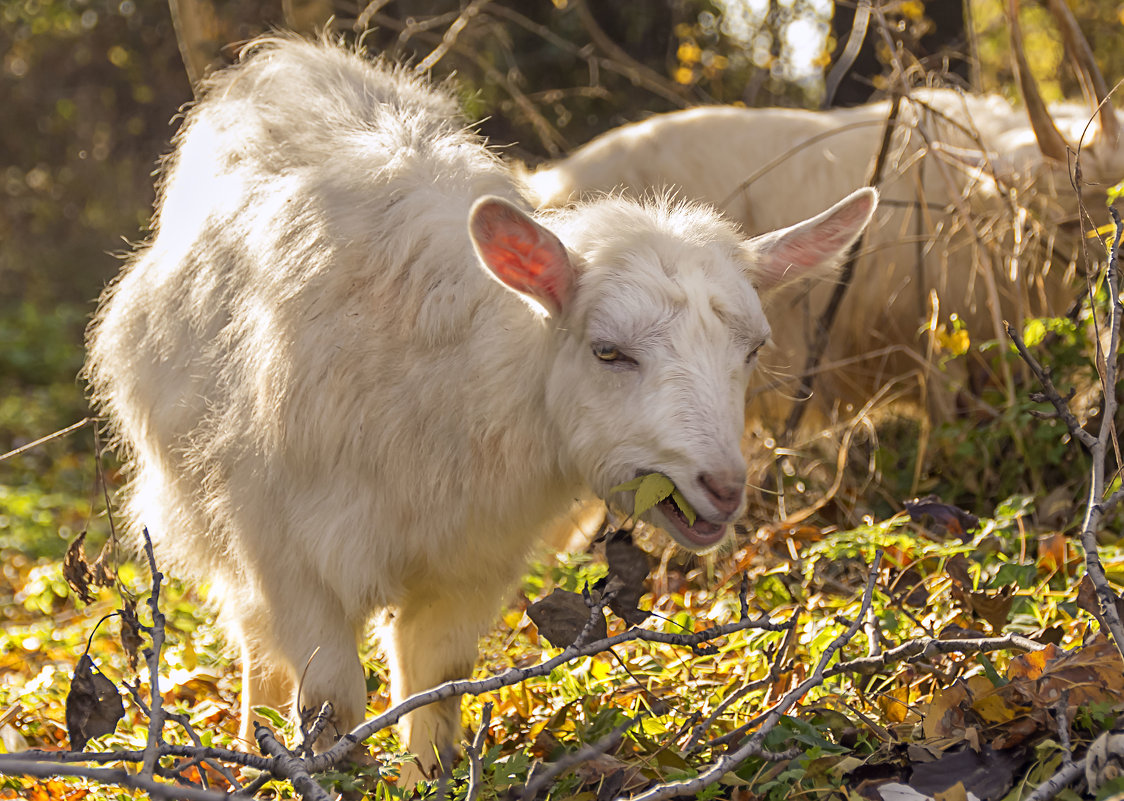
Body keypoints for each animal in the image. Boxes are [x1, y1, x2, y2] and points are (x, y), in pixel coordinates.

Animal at [85, 35, 876, 772]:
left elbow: (438, 681)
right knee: (256, 641)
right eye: (608, 351)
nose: (722, 486)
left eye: (752, 349)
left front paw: (427, 774)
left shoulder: (468, 559)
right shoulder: (293, 552)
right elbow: (331, 704)